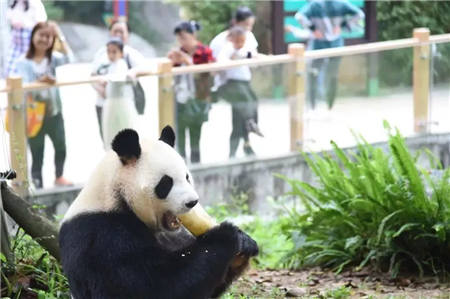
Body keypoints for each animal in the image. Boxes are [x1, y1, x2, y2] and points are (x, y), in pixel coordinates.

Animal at [58, 126, 258, 299]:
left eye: (187, 177)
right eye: (166, 183)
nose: (192, 202)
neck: (117, 196)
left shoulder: (175, 235)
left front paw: (245, 245)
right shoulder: (101, 236)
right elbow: (153, 286)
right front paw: (229, 235)